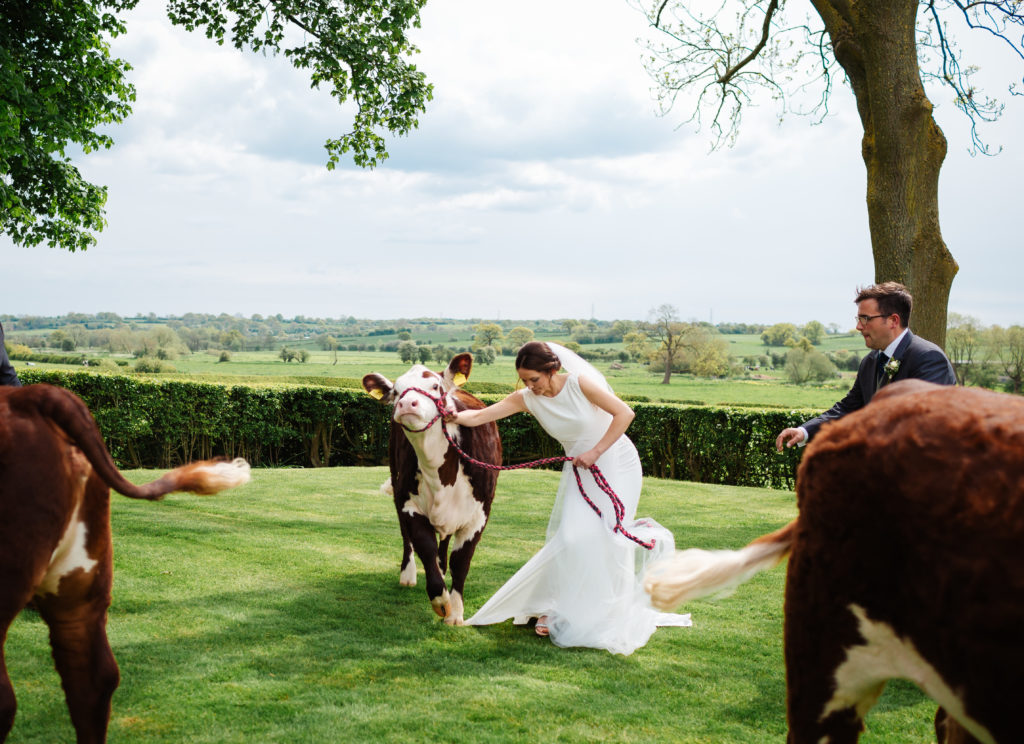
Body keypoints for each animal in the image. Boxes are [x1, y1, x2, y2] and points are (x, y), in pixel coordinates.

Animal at [362, 354, 501, 622]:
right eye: (396, 391)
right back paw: (409, 574)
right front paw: (441, 601)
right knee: (407, 538)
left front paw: (456, 612)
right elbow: (424, 546)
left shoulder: (479, 514)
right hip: (395, 478)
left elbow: (461, 561)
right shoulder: (409, 503)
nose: (407, 403)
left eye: (435, 386)